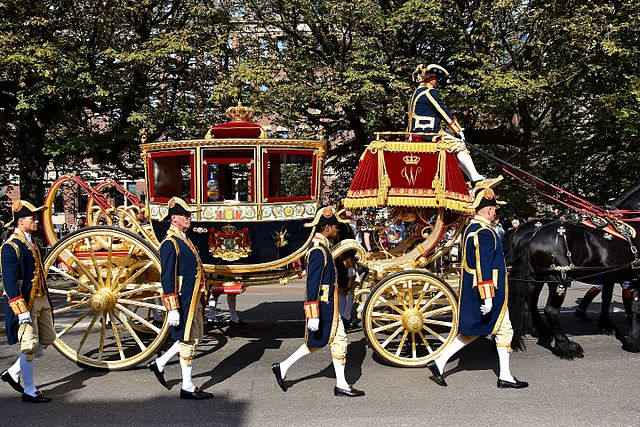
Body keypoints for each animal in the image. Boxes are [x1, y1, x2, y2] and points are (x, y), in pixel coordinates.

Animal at [504, 184, 640, 358]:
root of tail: (531, 235)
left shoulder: (610, 274)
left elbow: (608, 297)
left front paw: (607, 325)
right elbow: (635, 306)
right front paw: (634, 340)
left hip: (536, 278)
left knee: (531, 301)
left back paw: (542, 330)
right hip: (558, 280)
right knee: (551, 310)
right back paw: (566, 346)